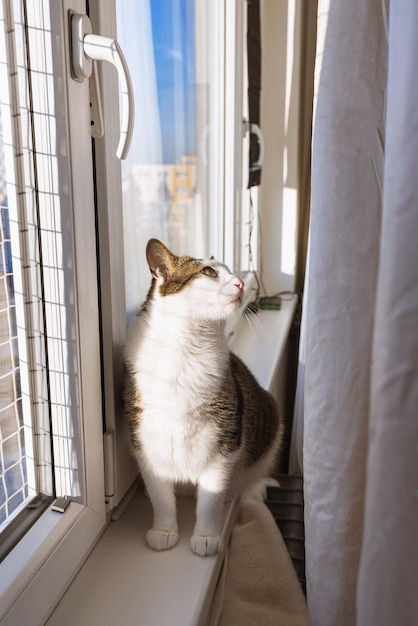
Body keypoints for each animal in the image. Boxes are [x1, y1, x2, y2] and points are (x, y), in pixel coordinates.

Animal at [122, 239, 282, 556]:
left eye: (231, 271)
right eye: (208, 272)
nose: (241, 282)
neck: (187, 348)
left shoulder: (225, 440)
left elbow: (211, 498)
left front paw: (207, 536)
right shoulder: (144, 440)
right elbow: (161, 496)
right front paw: (164, 530)